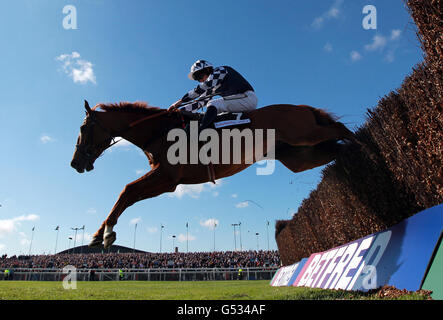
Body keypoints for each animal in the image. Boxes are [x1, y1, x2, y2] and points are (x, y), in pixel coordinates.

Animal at [71, 100, 360, 248]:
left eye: (84, 128)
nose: (75, 163)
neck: (159, 131)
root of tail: (301, 106)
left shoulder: (168, 179)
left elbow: (127, 190)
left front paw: (105, 234)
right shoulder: (165, 179)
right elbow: (127, 195)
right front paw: (101, 233)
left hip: (305, 135)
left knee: (341, 129)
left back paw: (366, 140)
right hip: (300, 156)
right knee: (337, 147)